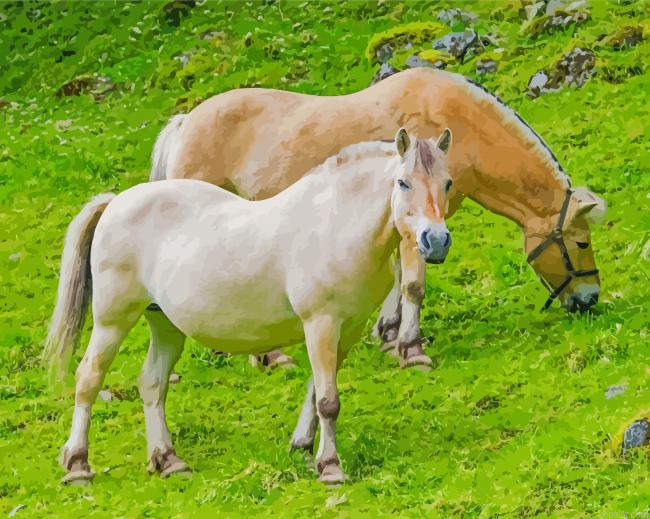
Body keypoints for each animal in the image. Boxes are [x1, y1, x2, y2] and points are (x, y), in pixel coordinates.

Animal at [45, 129, 454, 486]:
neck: (335, 224)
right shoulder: (321, 324)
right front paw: (330, 467)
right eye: (403, 182)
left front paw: (303, 447)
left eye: (447, 182)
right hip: (112, 322)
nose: (435, 241)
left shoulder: (345, 331)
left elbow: (316, 390)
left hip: (165, 325)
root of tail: (116, 202)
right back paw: (78, 465)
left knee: (152, 383)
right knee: (88, 378)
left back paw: (168, 460)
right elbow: (327, 400)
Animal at [151, 67, 607, 370]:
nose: (589, 300)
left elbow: (397, 279)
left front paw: (388, 334)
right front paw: (411, 347)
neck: (455, 125)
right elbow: (412, 283)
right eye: (581, 243)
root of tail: (184, 123)